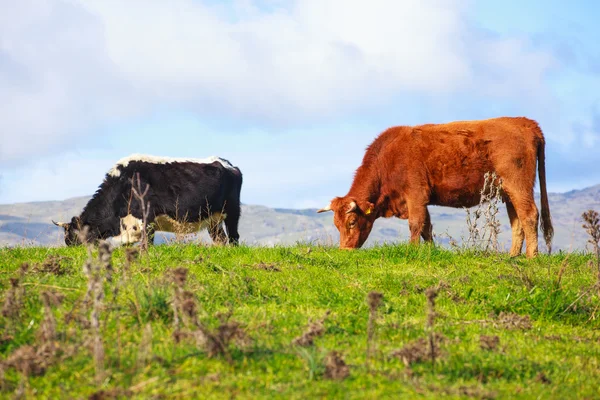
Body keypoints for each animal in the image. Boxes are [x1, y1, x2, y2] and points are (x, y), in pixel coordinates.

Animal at [52, 154, 244, 245]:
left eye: (72, 237)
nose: (71, 251)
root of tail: (227, 164)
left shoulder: (148, 218)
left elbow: (146, 244)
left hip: (232, 211)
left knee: (234, 237)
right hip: (213, 219)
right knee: (221, 239)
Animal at [316, 115, 556, 260]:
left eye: (352, 222)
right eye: (336, 224)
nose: (344, 250)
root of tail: (524, 122)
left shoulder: (415, 194)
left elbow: (416, 224)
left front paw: (412, 251)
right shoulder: (420, 200)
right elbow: (426, 228)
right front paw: (430, 251)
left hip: (518, 185)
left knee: (529, 215)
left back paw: (532, 256)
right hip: (507, 191)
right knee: (517, 221)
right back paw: (513, 256)